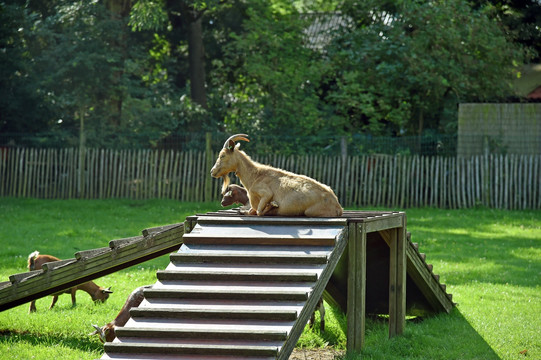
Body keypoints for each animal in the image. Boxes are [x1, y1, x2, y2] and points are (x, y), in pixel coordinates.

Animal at [211, 133, 342, 215]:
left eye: (222, 155)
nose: (212, 171)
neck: (255, 176)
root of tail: (338, 206)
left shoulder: (266, 193)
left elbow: (258, 211)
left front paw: (272, 205)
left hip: (310, 211)